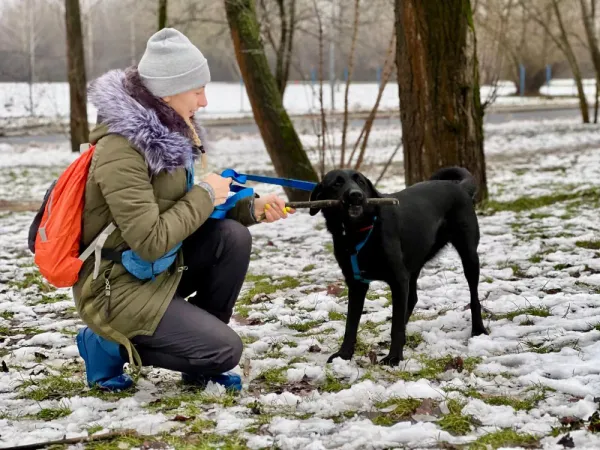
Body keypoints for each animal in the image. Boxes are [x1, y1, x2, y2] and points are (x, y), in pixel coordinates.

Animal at [312, 167, 490, 368]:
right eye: (337, 183)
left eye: (361, 182)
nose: (356, 195)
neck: (357, 232)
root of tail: (459, 187)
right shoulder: (356, 284)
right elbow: (351, 324)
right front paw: (343, 355)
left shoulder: (398, 279)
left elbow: (395, 325)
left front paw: (394, 357)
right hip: (415, 262)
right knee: (411, 299)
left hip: (469, 257)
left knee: (474, 297)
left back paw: (478, 329)